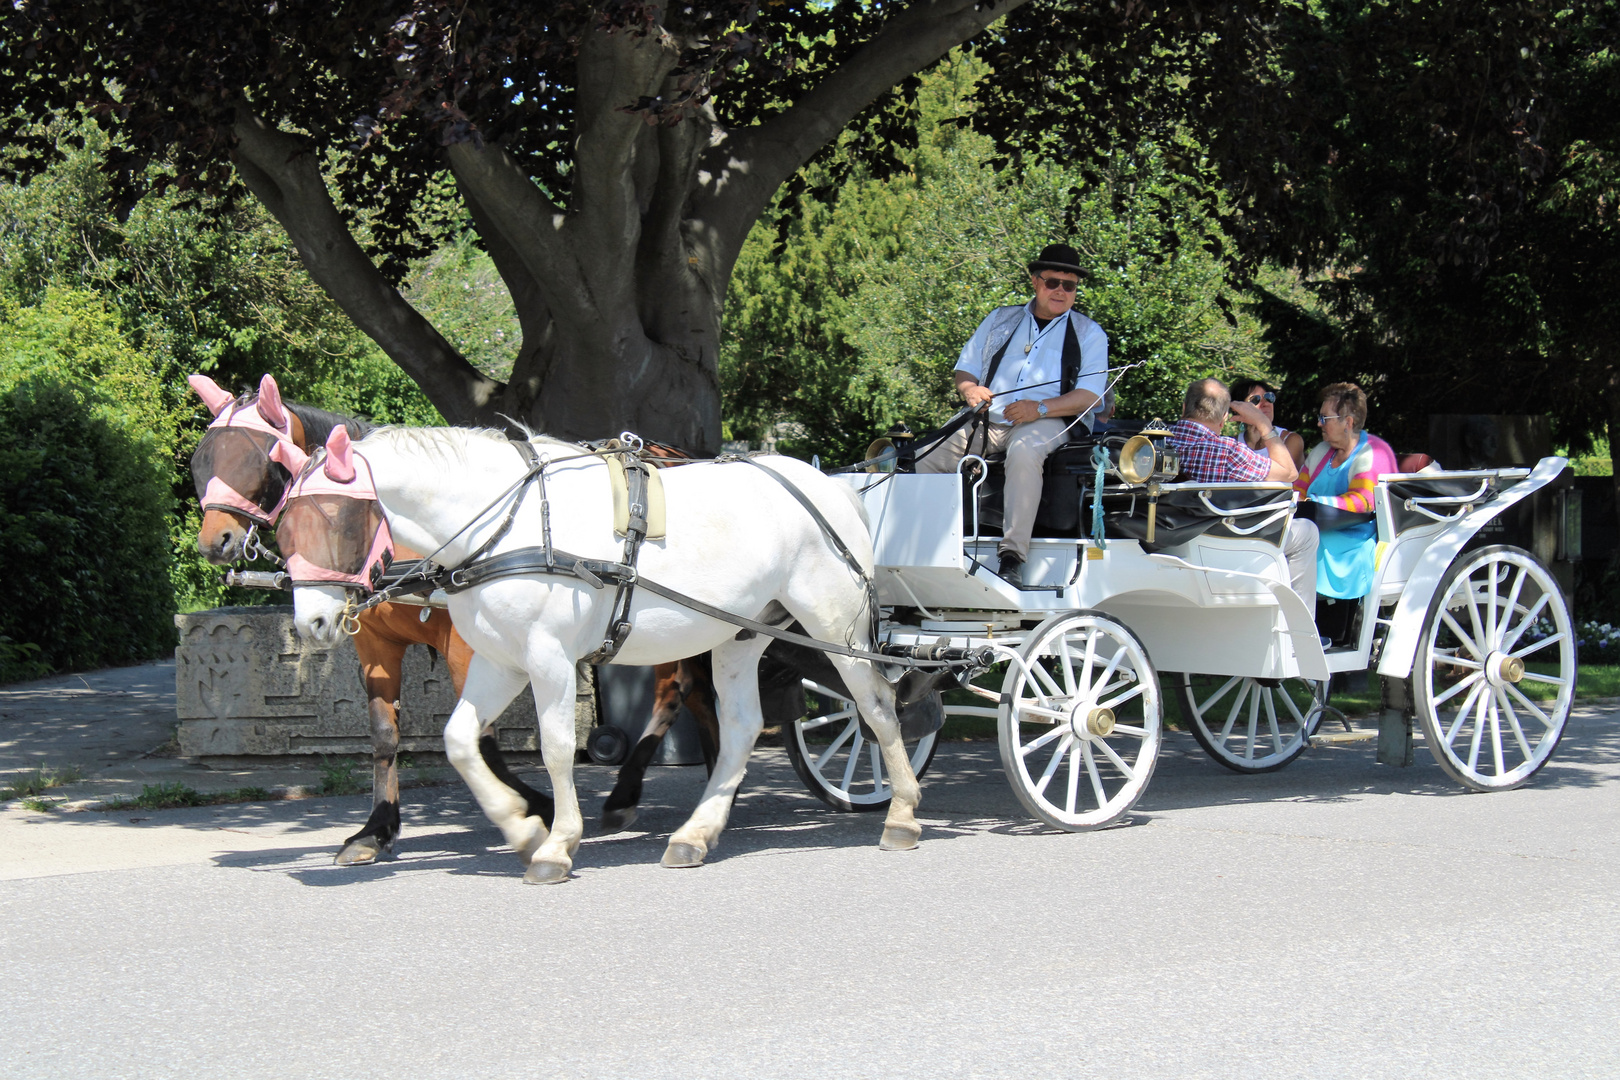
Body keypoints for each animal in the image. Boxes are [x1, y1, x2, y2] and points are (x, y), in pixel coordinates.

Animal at [288, 427, 926, 880]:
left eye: (338, 518)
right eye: (283, 523)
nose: (311, 623)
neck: (507, 525)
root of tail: (833, 486)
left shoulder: (546, 656)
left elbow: (554, 748)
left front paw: (557, 842)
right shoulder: (499, 660)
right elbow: (459, 741)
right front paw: (519, 827)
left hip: (835, 626)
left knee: (875, 706)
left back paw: (902, 812)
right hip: (741, 634)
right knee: (743, 725)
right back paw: (696, 833)